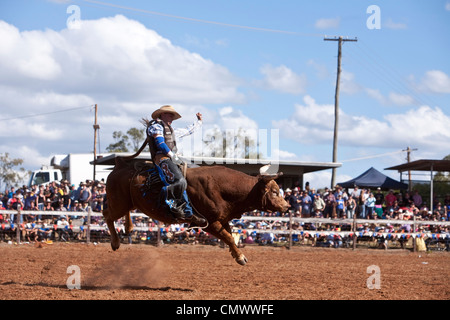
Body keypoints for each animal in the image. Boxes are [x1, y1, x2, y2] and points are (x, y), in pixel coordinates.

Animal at [103, 158, 288, 264]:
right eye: (274, 191)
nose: (287, 206)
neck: (221, 187)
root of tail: (120, 165)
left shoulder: (223, 219)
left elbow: (230, 236)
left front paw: (236, 254)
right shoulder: (210, 223)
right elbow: (228, 237)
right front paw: (240, 257)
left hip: (127, 203)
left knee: (122, 213)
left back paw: (128, 228)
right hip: (118, 203)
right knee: (107, 215)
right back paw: (115, 242)